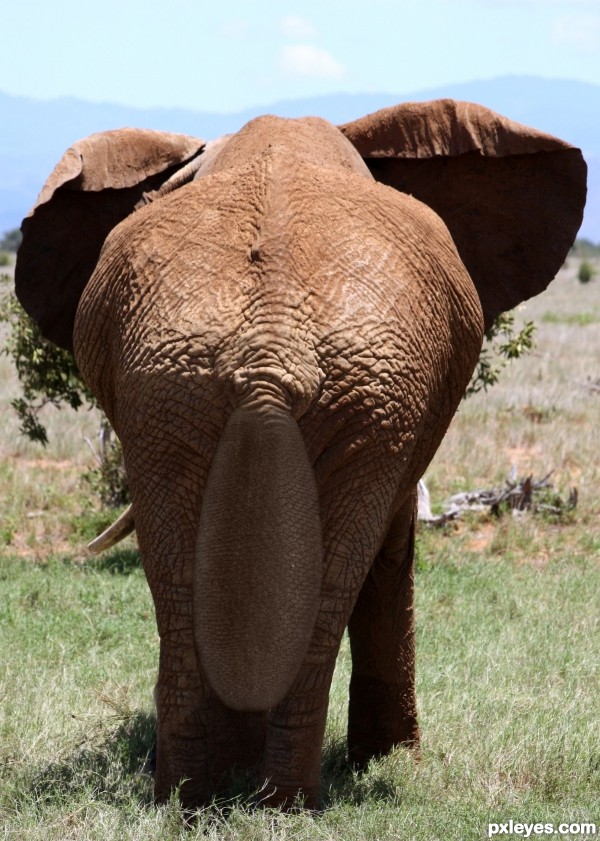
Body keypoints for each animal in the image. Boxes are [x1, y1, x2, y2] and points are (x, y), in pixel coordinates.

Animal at [14, 98, 584, 808]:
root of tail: (268, 349)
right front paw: (390, 762)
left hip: (200, 388)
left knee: (194, 580)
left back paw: (200, 800)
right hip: (275, 388)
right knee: (308, 585)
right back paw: (270, 803)